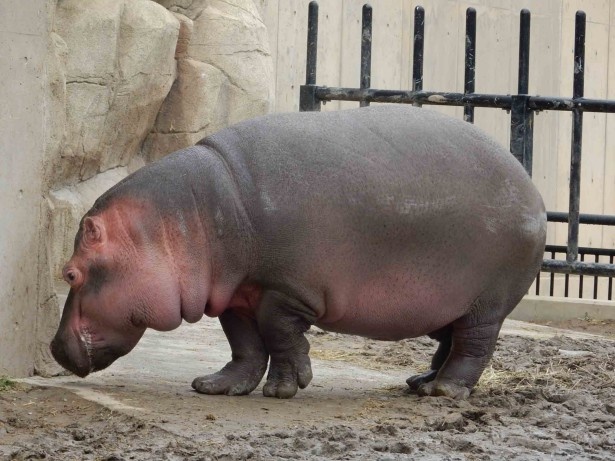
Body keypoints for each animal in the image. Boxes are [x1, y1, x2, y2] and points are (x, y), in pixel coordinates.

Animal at [50, 105, 548, 398]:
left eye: (70, 273)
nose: (53, 348)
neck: (185, 219)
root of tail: (530, 185)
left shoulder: (286, 290)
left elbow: (279, 335)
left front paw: (284, 389)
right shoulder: (236, 293)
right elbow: (244, 342)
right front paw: (215, 386)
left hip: (487, 302)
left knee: (473, 346)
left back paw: (445, 392)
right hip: (448, 303)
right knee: (448, 342)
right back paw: (419, 383)